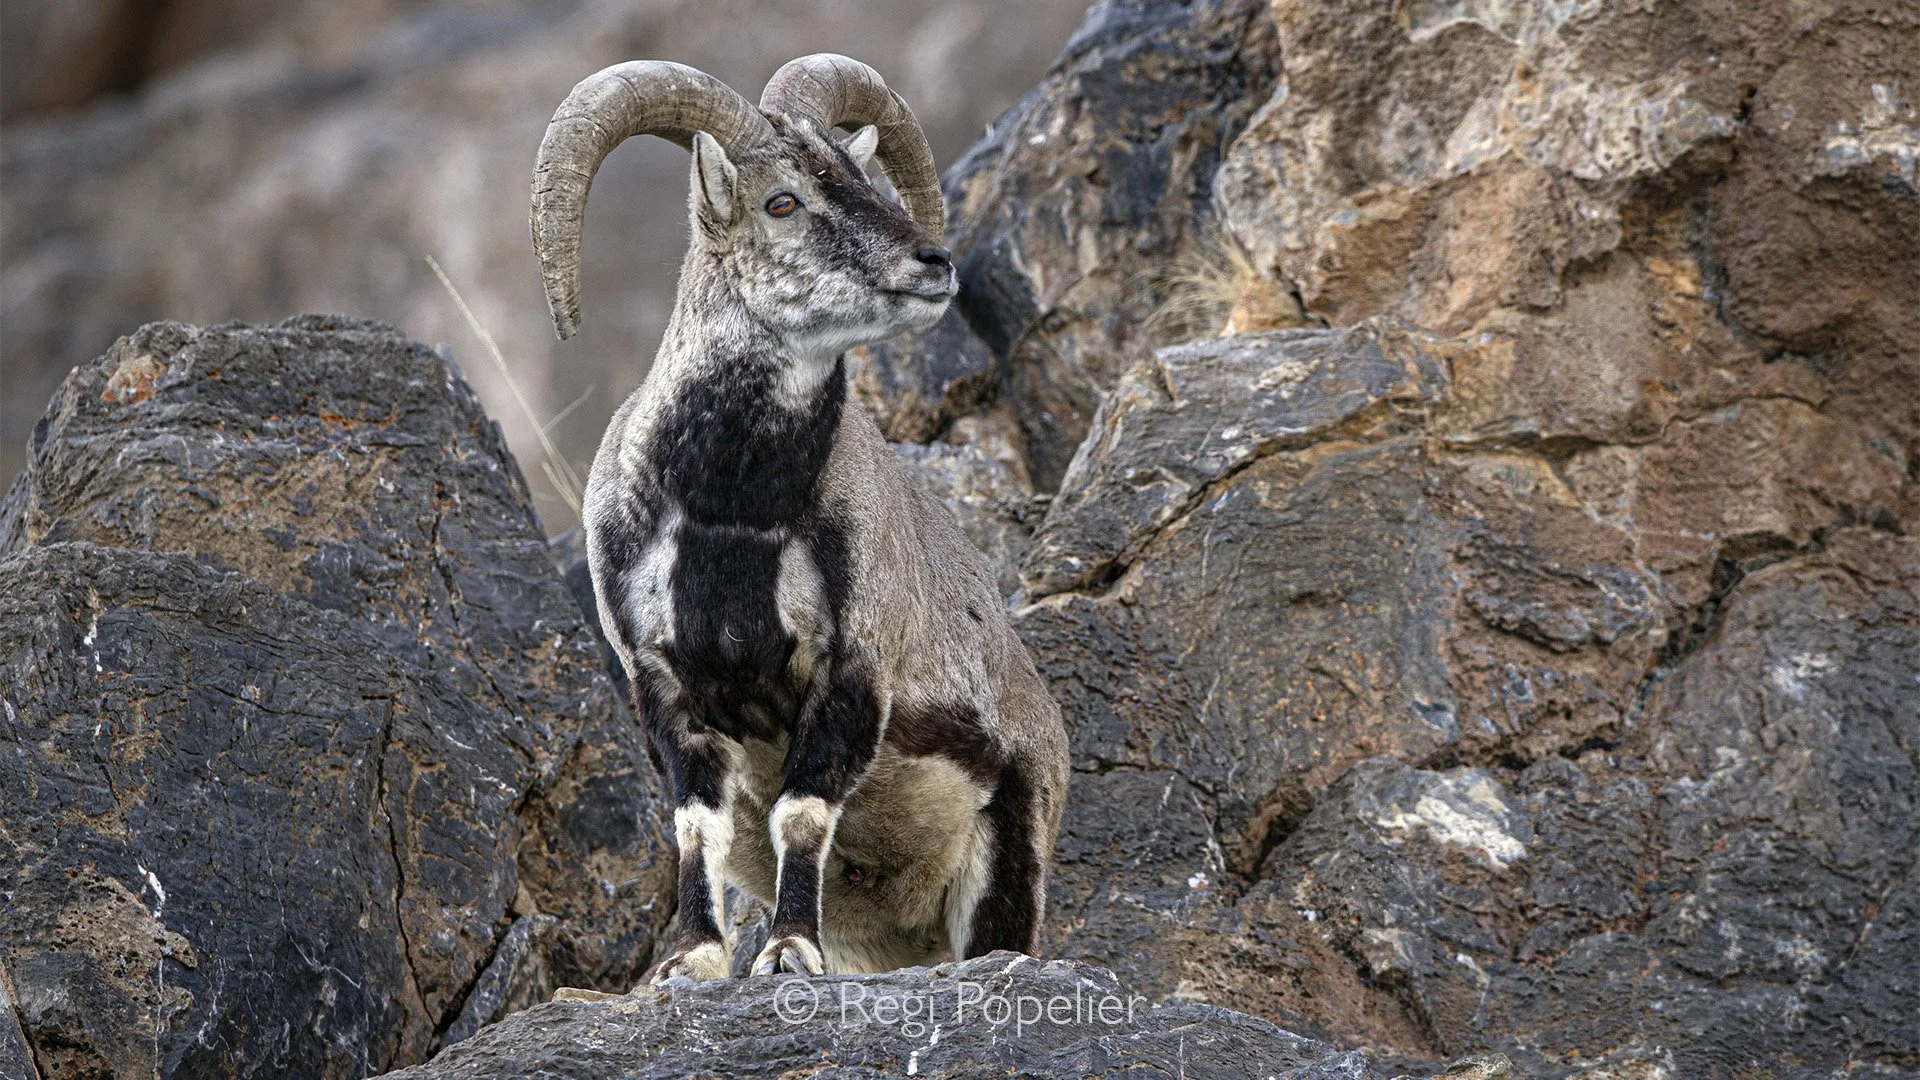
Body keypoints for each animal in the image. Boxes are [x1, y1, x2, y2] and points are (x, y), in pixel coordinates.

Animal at [530, 54, 1070, 981]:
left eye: (860, 174)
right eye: (782, 201)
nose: (934, 260)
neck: (731, 514)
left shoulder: (849, 673)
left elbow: (805, 812)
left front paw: (785, 950)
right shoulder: (664, 682)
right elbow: (696, 825)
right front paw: (692, 961)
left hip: (1010, 856)